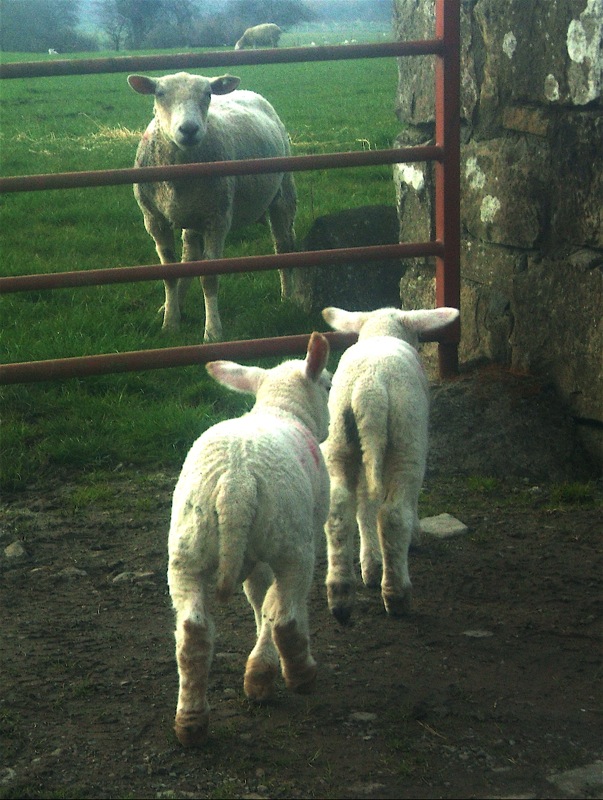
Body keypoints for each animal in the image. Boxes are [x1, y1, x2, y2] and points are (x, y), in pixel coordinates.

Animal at [128, 71, 298, 340]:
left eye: (207, 94)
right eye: (160, 93)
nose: (189, 129)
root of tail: (249, 92)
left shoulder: (217, 220)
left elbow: (209, 277)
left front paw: (213, 331)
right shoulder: (154, 220)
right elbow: (170, 272)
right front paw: (170, 322)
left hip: (283, 194)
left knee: (284, 245)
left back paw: (288, 297)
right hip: (192, 214)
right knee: (190, 255)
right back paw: (175, 304)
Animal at [168, 330, 332, 744]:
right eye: (328, 384)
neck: (279, 408)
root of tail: (236, 480)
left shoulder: (252, 555)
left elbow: (259, 600)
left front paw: (259, 672)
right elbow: (272, 605)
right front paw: (264, 673)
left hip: (188, 546)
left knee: (193, 632)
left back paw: (191, 722)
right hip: (290, 537)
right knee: (284, 613)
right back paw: (301, 674)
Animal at [320, 306, 458, 624]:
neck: (381, 330)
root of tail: (369, 389)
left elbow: (364, 506)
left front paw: (371, 564)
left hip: (338, 441)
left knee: (340, 510)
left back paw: (341, 595)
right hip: (407, 439)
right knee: (393, 515)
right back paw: (397, 596)